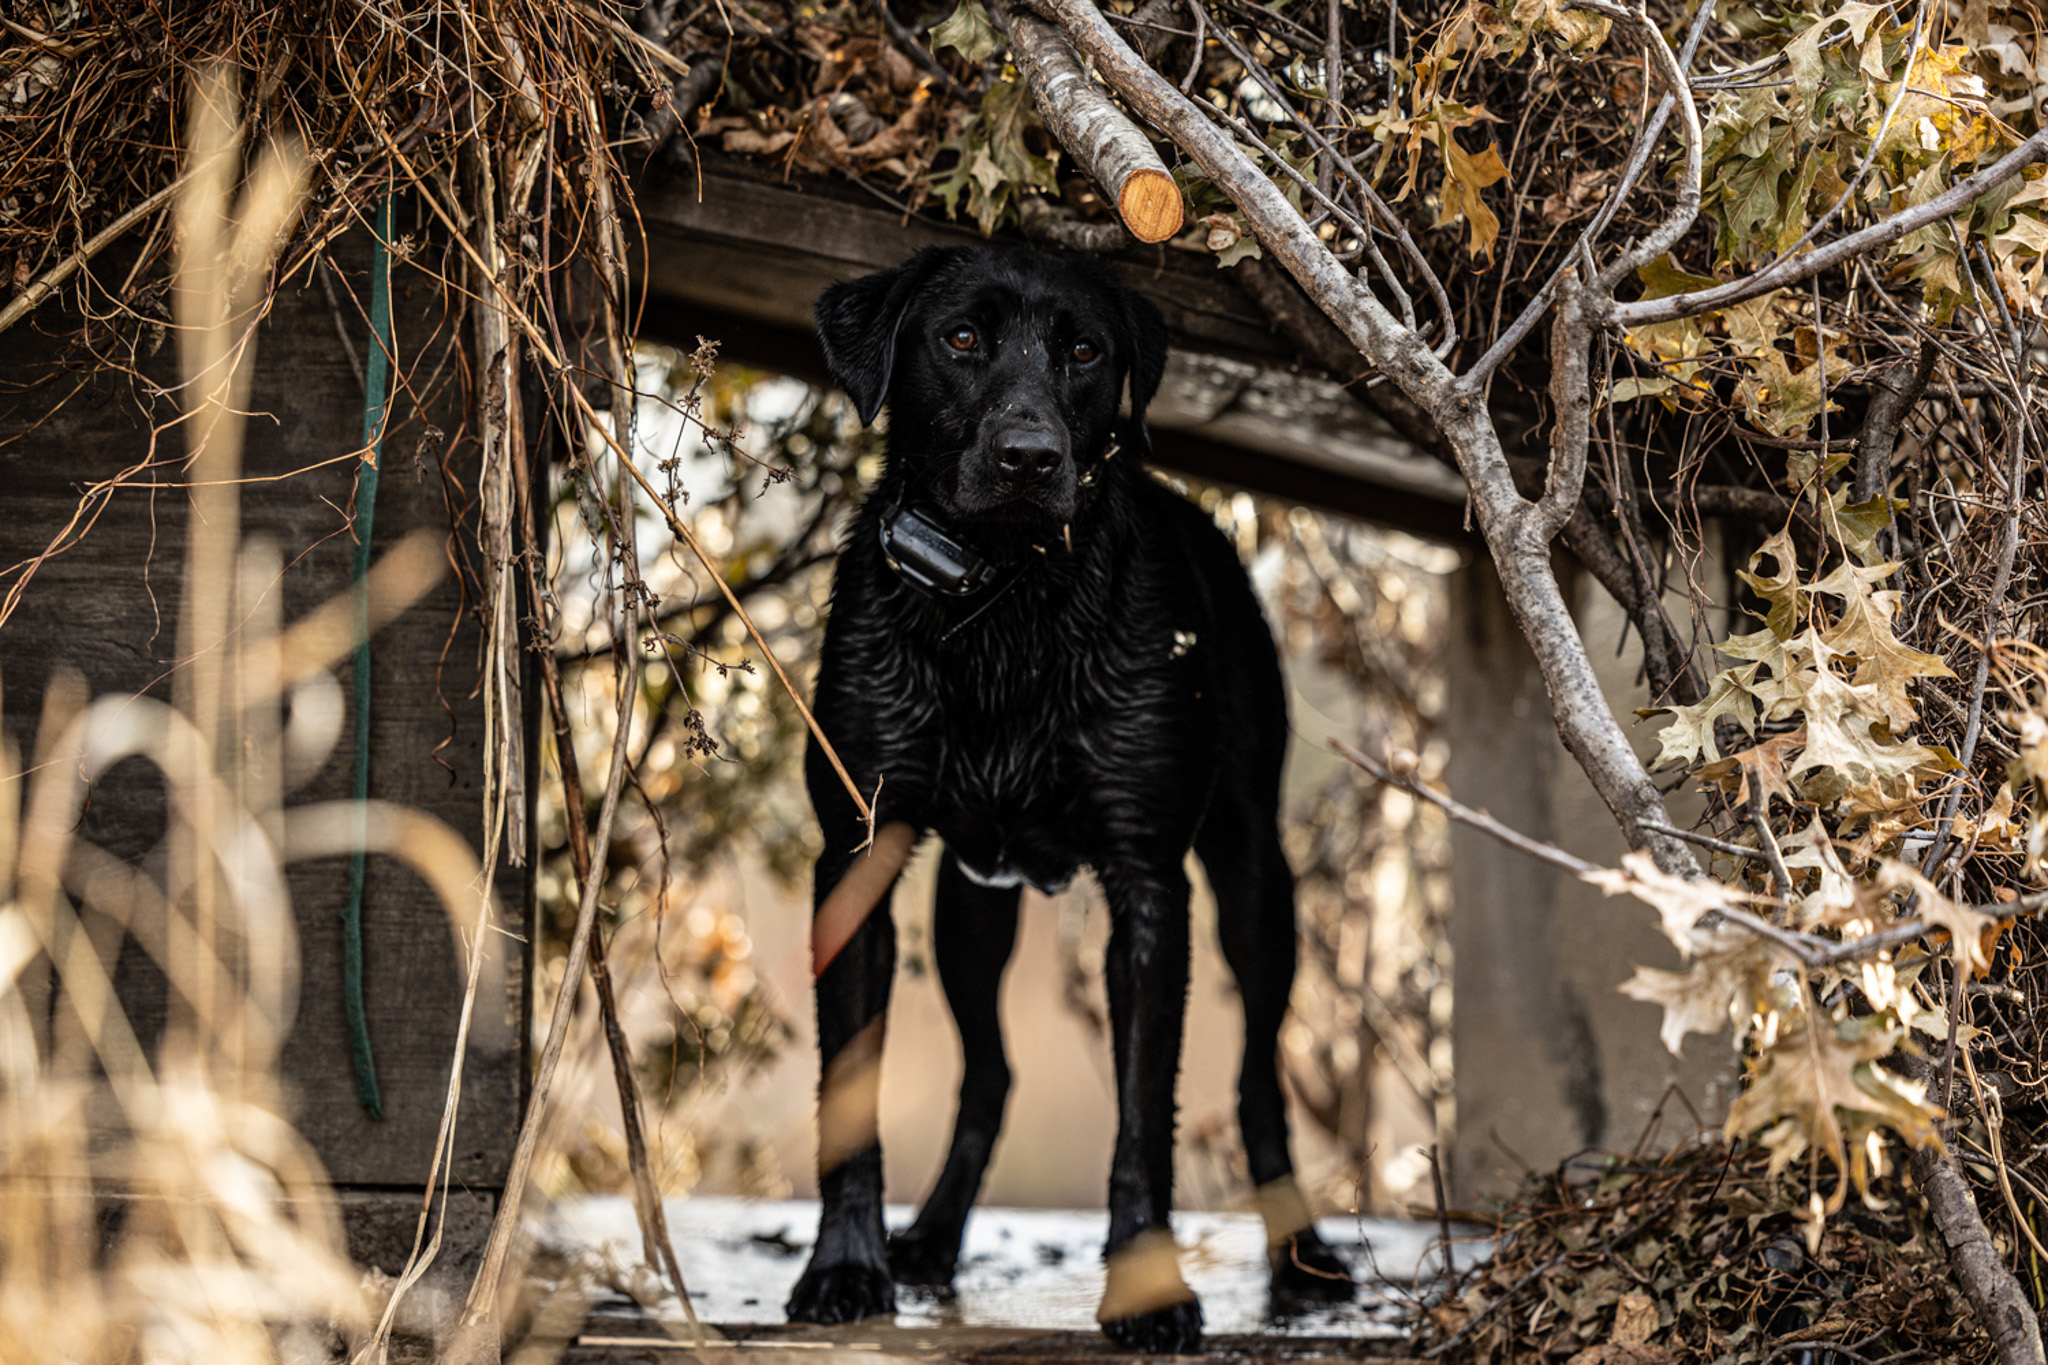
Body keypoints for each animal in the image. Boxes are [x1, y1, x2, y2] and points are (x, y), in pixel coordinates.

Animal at [790, 245, 1351, 1358]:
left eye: (1085, 351)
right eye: (961, 337)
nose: (1028, 457)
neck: (1004, 609)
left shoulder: (1149, 886)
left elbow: (1144, 1117)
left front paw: (1149, 1292)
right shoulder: (856, 859)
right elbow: (851, 1092)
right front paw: (844, 1267)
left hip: (1253, 881)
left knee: (1258, 1081)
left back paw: (1300, 1257)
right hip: (971, 906)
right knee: (990, 1072)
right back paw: (931, 1240)